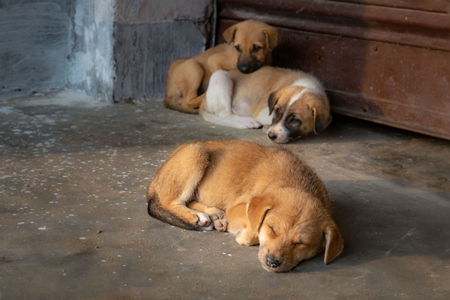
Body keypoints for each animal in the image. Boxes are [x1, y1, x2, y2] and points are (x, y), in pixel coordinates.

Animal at [148, 140, 344, 272]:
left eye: (301, 243)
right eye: (272, 229)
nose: (272, 263)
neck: (295, 183)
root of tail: (156, 177)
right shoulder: (237, 207)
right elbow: (253, 225)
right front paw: (244, 235)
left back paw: (214, 215)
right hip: (195, 153)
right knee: (170, 201)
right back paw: (197, 217)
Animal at [200, 66, 334, 143]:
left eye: (295, 120)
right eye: (276, 111)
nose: (271, 135)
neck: (308, 86)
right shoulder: (262, 111)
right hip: (220, 76)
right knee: (224, 115)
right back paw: (248, 121)